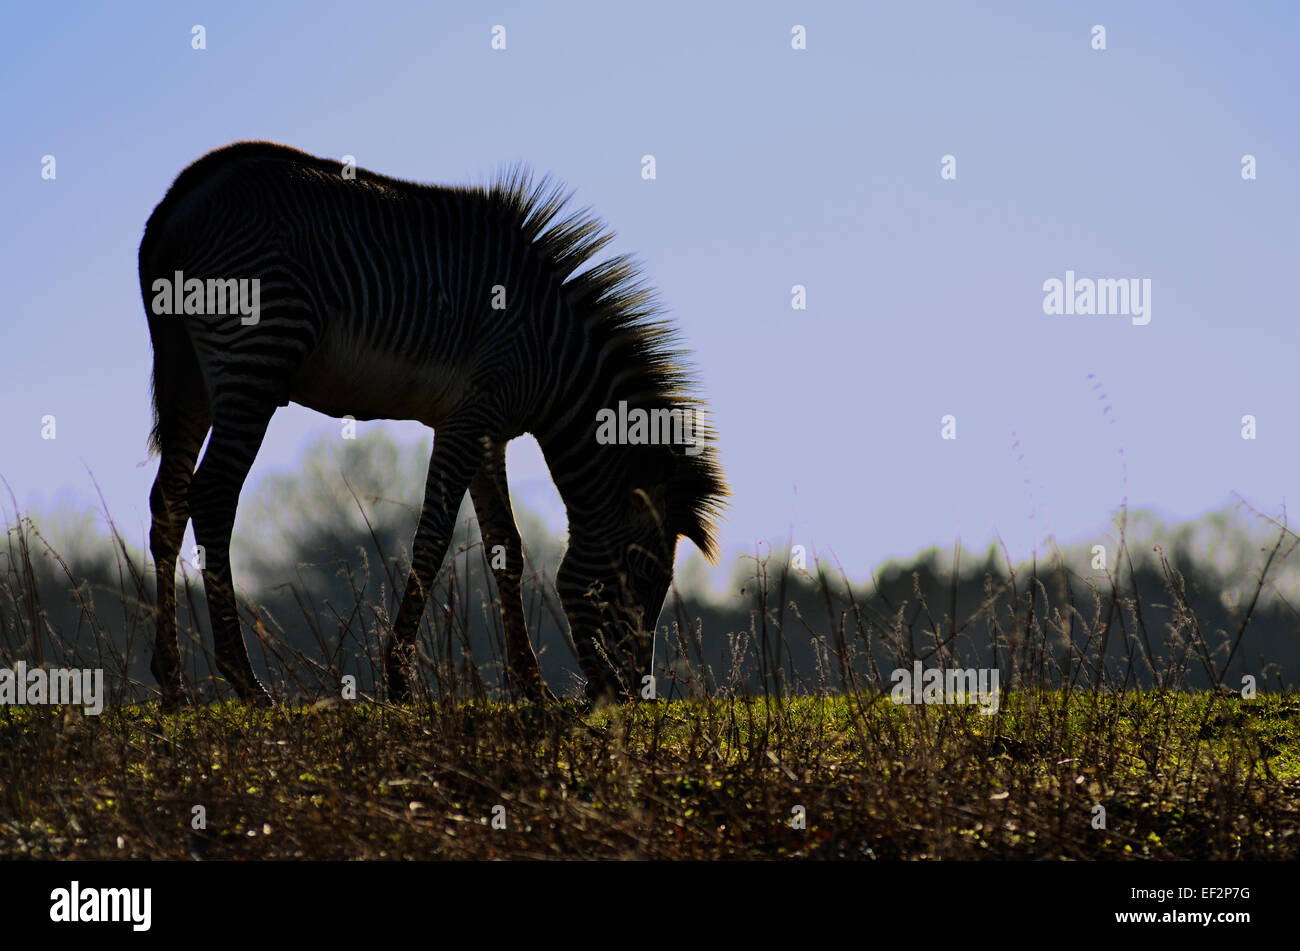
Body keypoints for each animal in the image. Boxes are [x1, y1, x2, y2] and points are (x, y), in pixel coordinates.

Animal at [139, 141, 727, 707]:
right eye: (642, 572)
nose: (629, 695)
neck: (554, 357)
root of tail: (179, 200)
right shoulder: (470, 418)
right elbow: (432, 539)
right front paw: (399, 680)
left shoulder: (488, 430)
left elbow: (507, 548)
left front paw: (532, 688)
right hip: (255, 359)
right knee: (213, 495)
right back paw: (247, 684)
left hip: (188, 374)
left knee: (167, 501)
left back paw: (172, 686)